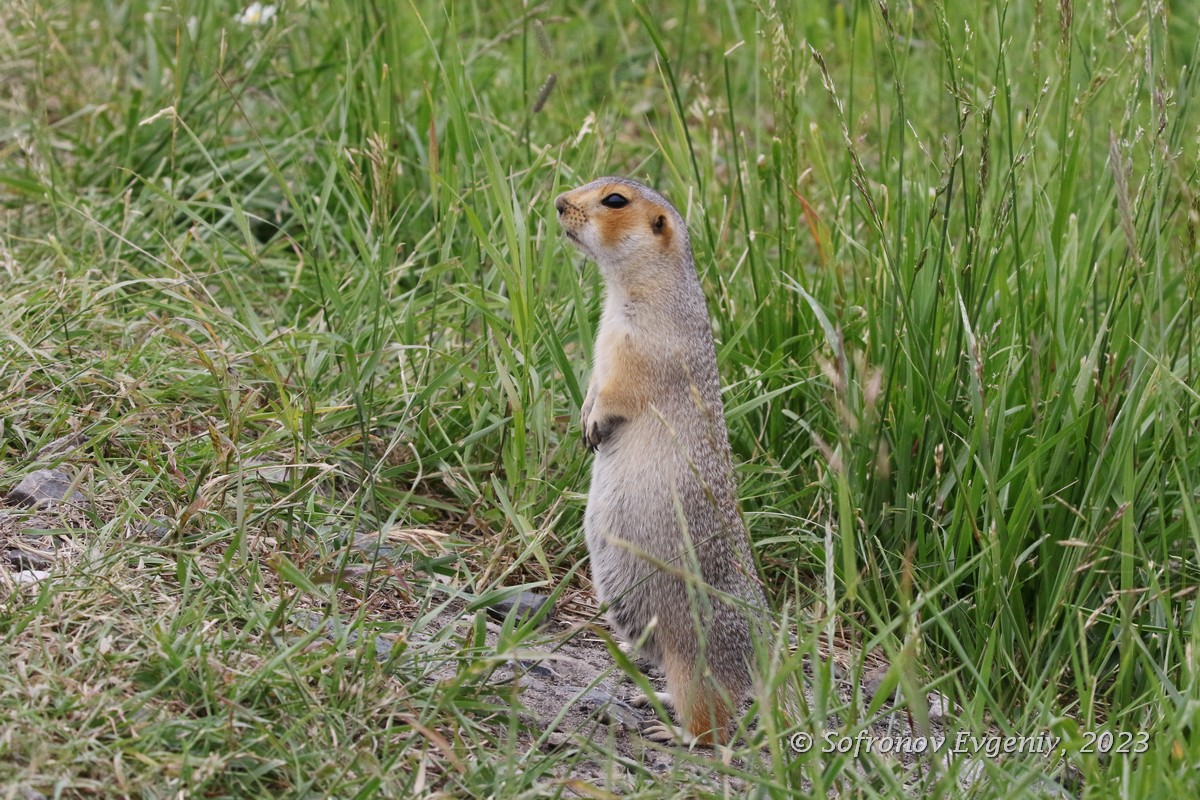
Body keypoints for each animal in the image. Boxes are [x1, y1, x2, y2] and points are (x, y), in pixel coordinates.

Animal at [552, 178, 768, 748]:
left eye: (615, 200)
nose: (559, 202)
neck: (629, 291)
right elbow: (595, 381)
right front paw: (584, 419)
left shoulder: (644, 345)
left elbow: (621, 386)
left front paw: (595, 421)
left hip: (696, 656)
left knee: (715, 719)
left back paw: (679, 734)